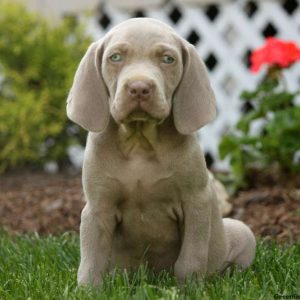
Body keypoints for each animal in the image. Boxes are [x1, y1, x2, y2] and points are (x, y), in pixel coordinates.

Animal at [67, 17, 256, 284]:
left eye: (168, 59)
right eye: (115, 57)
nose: (139, 88)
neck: (140, 141)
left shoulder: (196, 202)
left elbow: (190, 259)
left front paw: (191, 288)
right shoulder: (97, 208)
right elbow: (91, 262)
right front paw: (87, 289)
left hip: (241, 231)